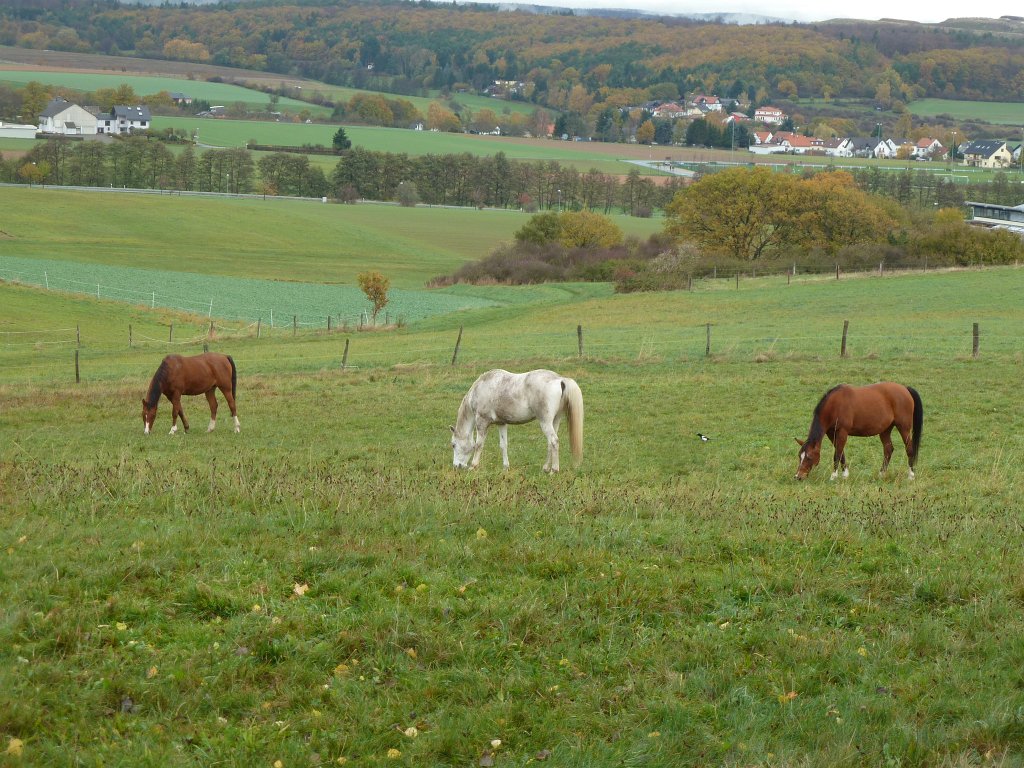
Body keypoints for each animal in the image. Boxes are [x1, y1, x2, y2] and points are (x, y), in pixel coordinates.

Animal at [451, 369, 583, 472]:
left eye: (453, 445)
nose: (457, 466)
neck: (482, 387)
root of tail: (559, 379)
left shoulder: (482, 422)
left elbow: (478, 445)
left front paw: (473, 466)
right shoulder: (501, 423)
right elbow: (503, 445)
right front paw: (505, 467)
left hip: (545, 422)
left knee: (554, 441)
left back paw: (554, 470)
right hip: (555, 421)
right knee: (550, 443)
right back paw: (546, 468)